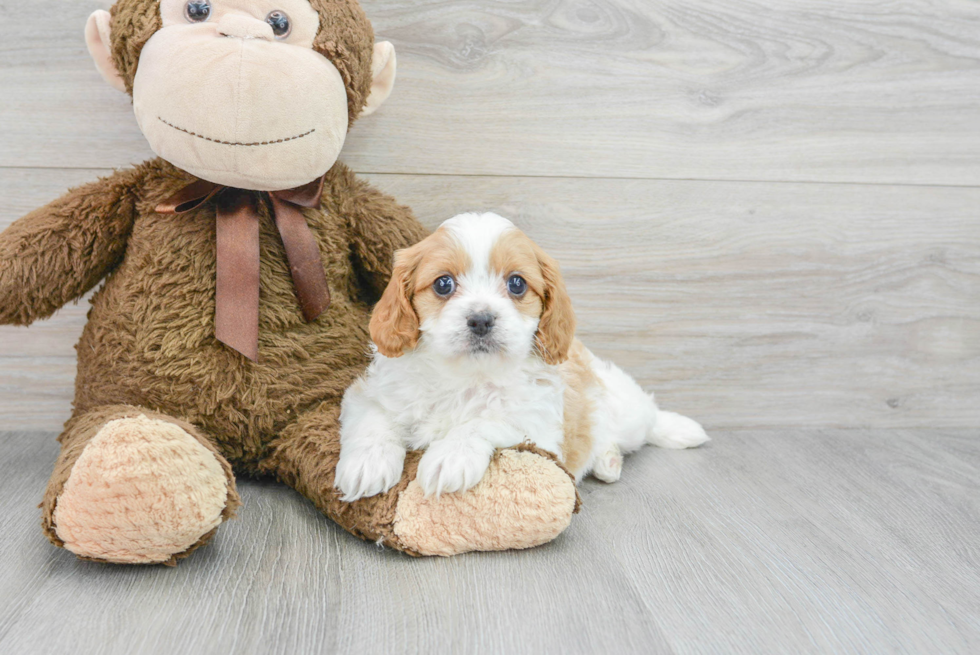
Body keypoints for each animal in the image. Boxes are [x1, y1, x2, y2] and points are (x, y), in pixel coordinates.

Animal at [334, 213, 704, 500]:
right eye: (443, 284)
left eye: (516, 284)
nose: (481, 319)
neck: (466, 376)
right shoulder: (369, 393)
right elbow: (374, 420)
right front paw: (367, 464)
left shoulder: (536, 424)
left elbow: (486, 420)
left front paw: (451, 455)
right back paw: (607, 461)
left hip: (626, 408)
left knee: (648, 417)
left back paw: (677, 430)